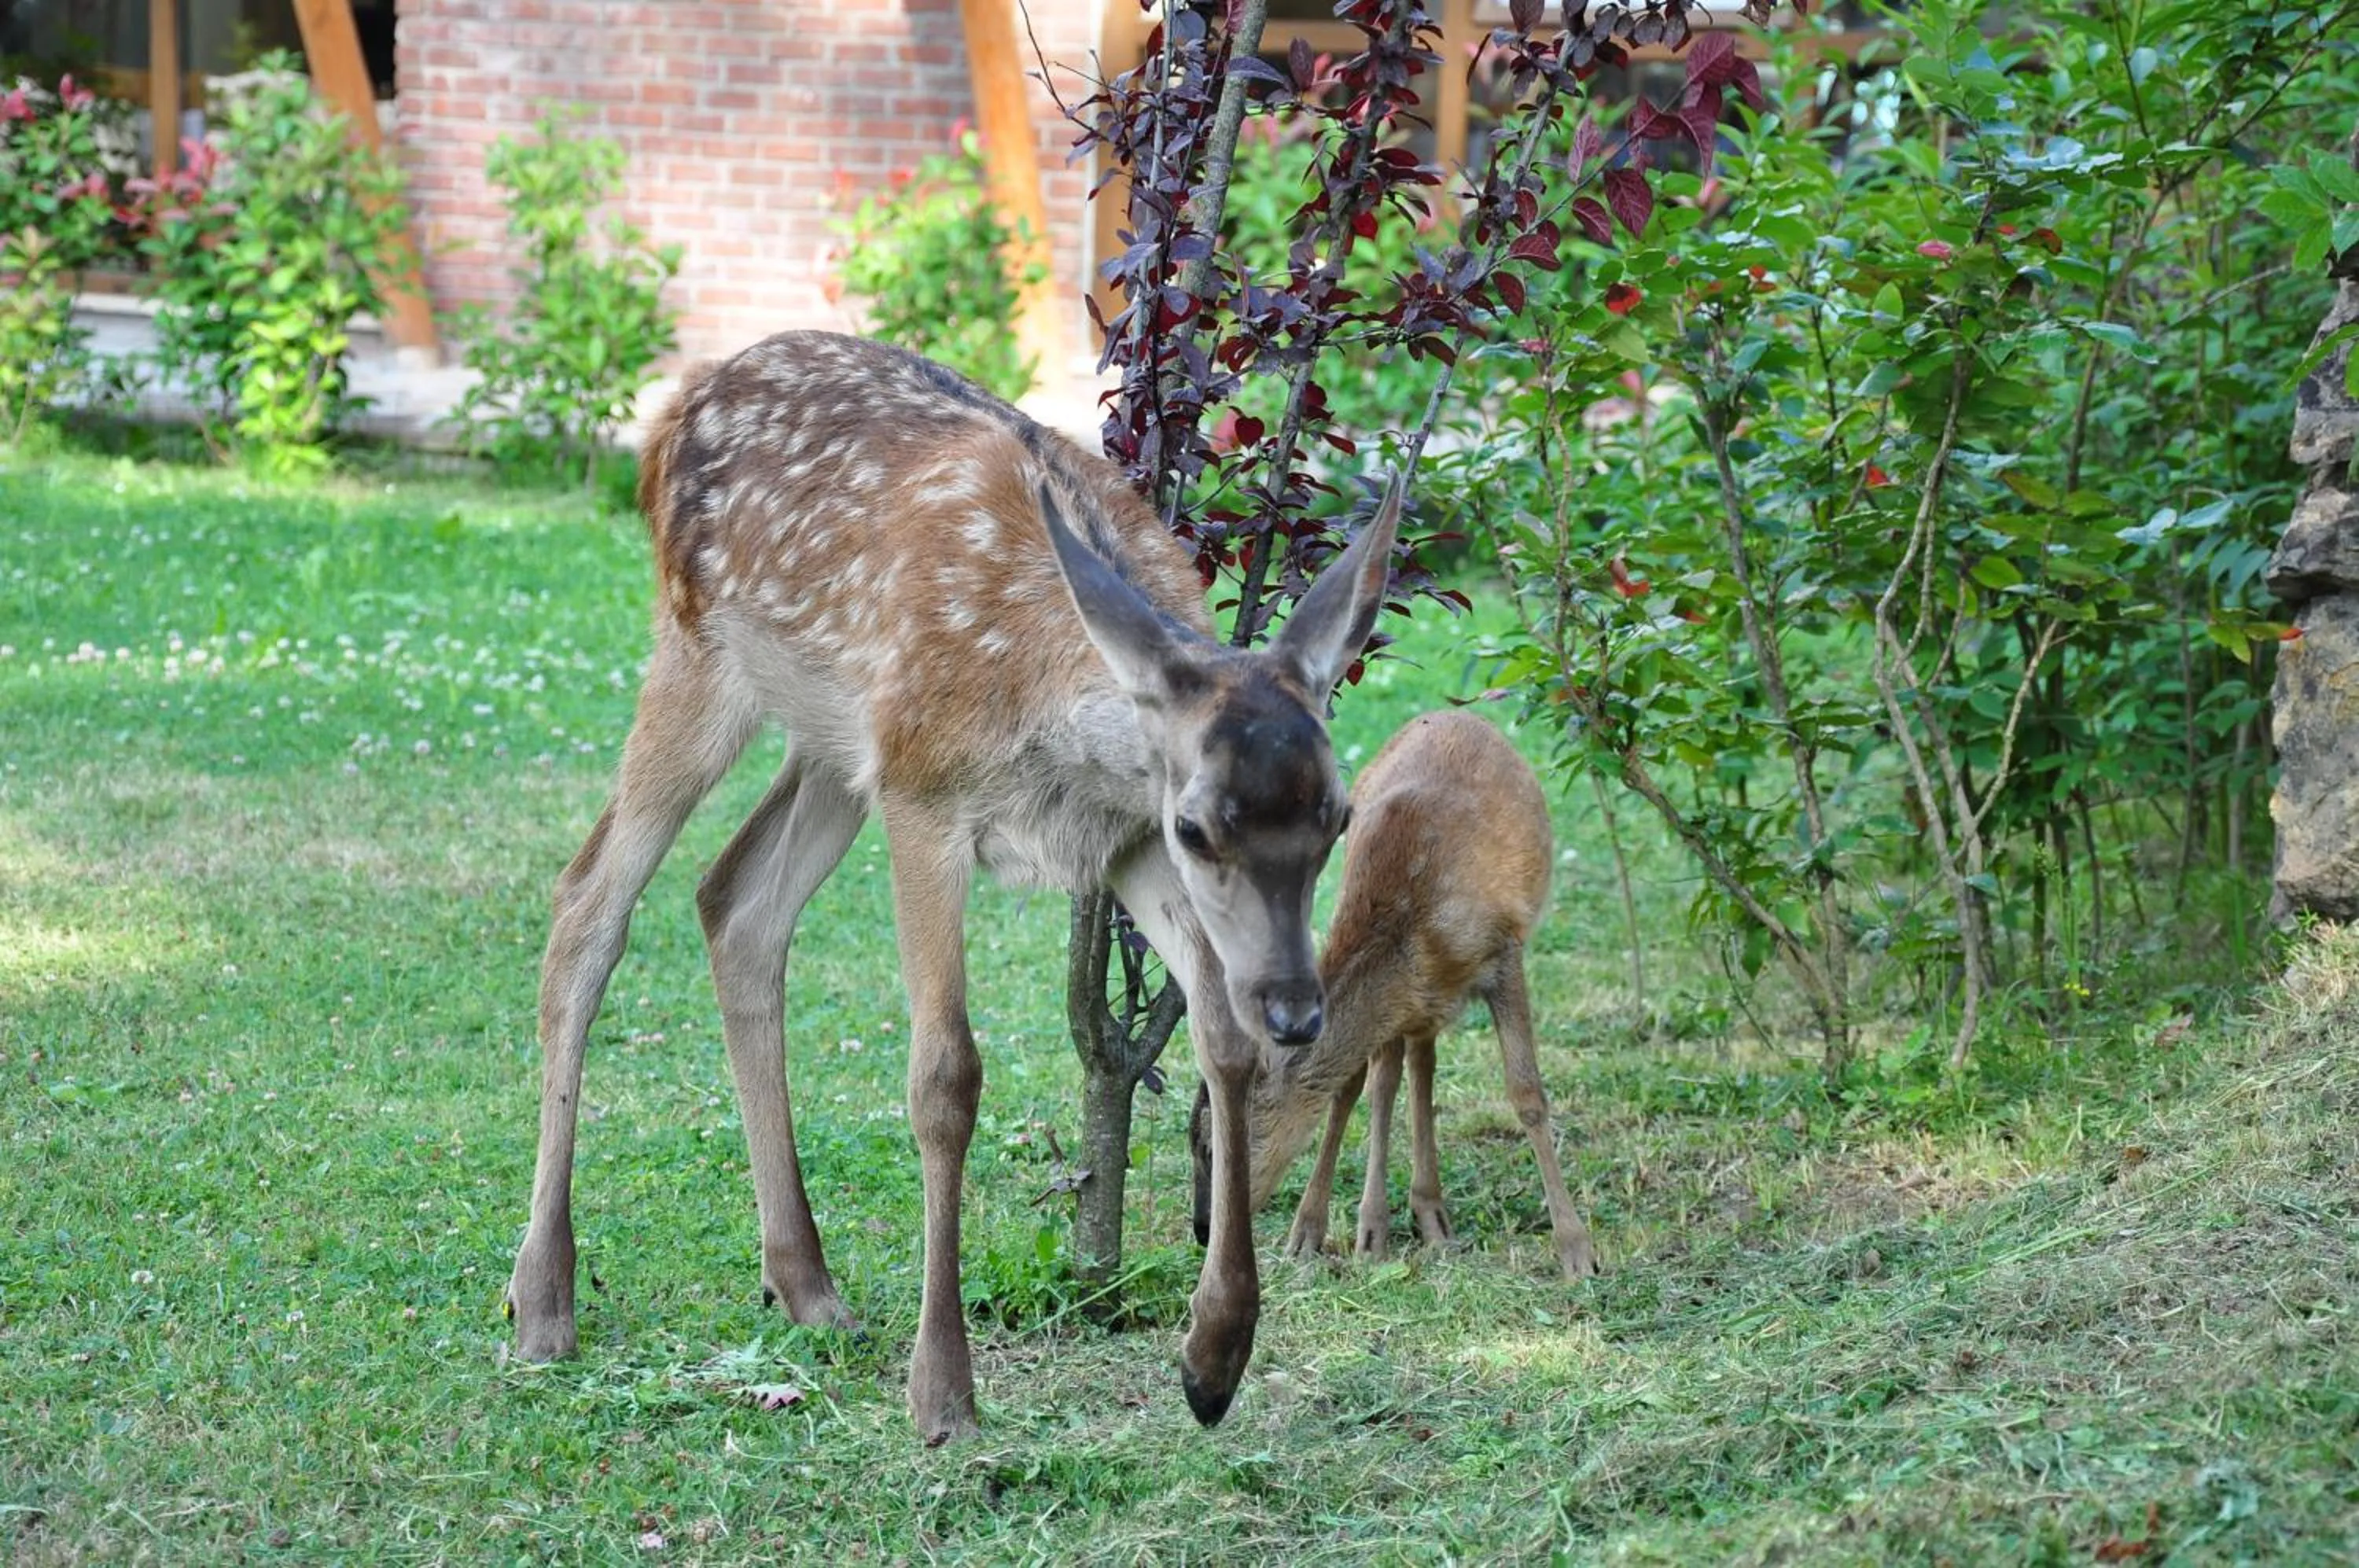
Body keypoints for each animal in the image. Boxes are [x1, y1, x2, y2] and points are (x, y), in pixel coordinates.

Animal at [503, 331, 1398, 1442]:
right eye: (1200, 822)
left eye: (1339, 817)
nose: (1297, 1008)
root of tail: (671, 414)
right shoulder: (930, 797)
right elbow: (944, 1077)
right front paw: (944, 1392)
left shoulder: (1117, 841)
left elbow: (1218, 1040)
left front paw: (1215, 1355)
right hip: (707, 657)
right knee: (590, 900)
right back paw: (543, 1299)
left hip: (839, 742)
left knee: (736, 901)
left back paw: (807, 1284)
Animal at [1189, 710, 1598, 1281]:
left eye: (1213, 1146)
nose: (1203, 1230)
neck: (1411, 925)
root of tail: (1458, 713)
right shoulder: (1398, 998)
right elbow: (1355, 1088)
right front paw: (1315, 1231)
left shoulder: (1503, 953)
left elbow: (1527, 1095)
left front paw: (1577, 1249)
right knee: (1405, 1071)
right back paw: (1411, 1216)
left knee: (1418, 1066)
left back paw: (1429, 1214)